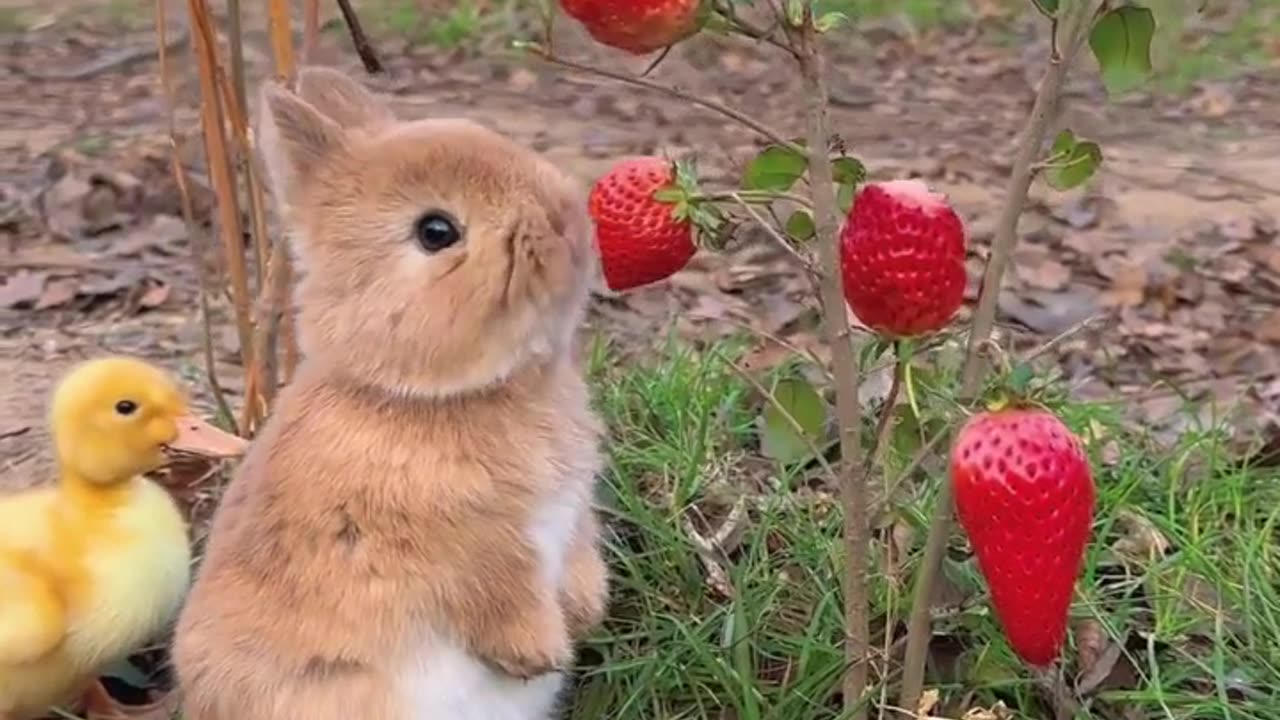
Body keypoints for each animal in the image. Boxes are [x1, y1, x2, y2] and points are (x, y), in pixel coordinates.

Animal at [171, 65, 609, 717]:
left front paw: (585, 612)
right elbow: (497, 590)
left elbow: (579, 549)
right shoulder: (461, 548)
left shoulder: (572, 509)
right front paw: (540, 652)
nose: (568, 226)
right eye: (436, 231)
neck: (420, 395)